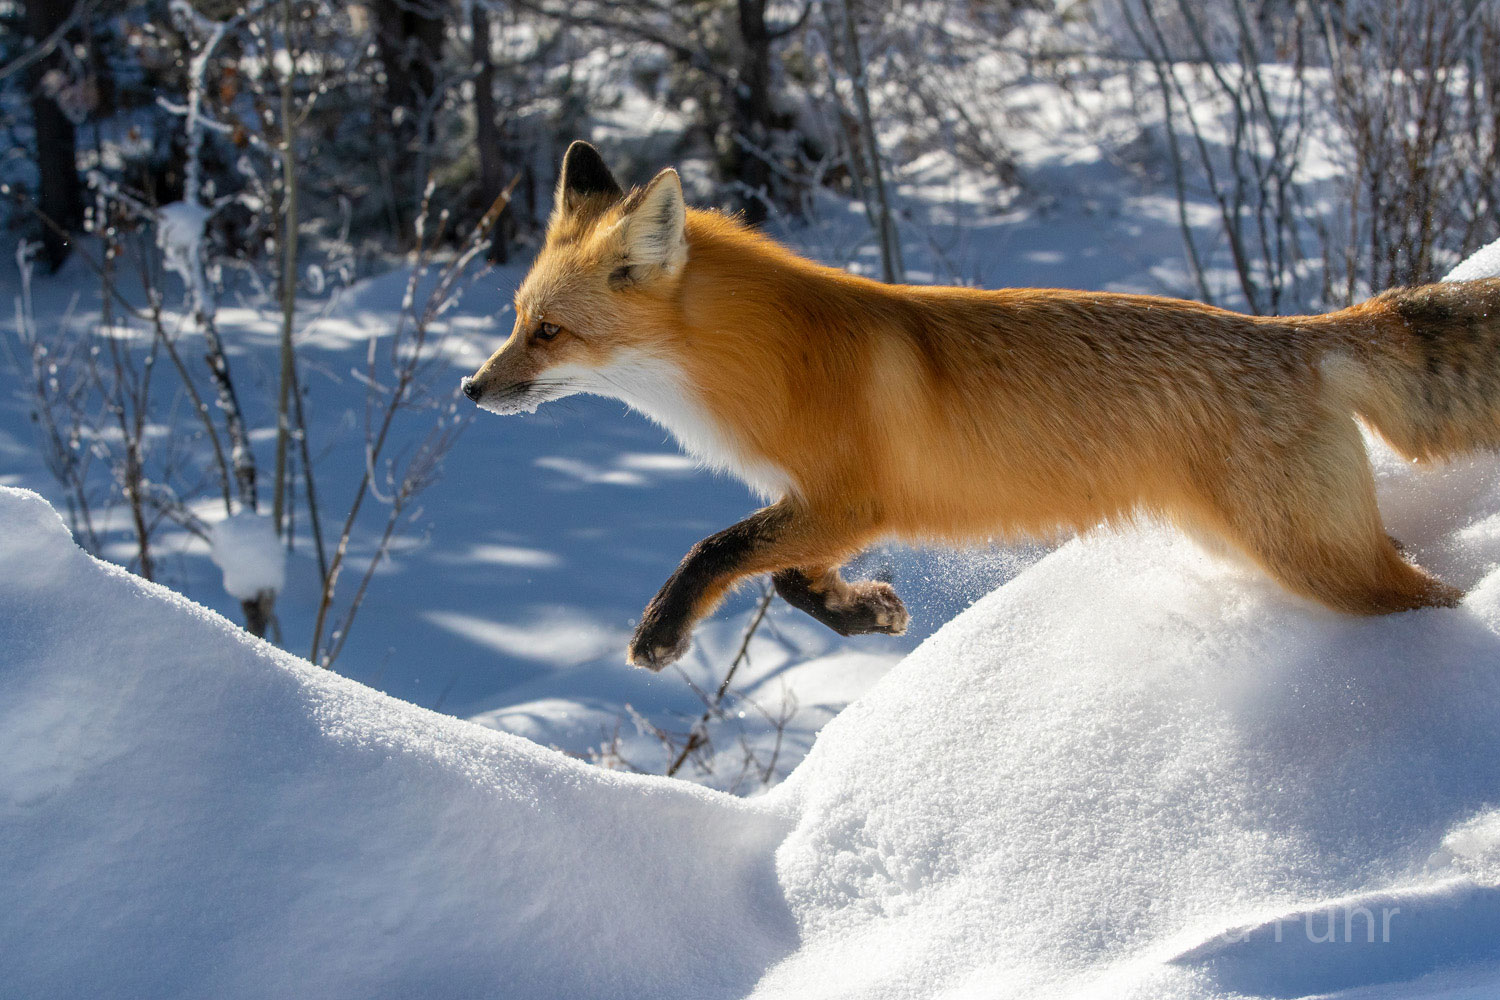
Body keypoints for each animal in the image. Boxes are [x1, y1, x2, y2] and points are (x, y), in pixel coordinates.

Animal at [459, 138, 1500, 671]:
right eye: (514, 321)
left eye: (548, 332)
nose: (470, 387)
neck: (772, 362)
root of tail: (1299, 335)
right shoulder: (828, 510)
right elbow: (788, 579)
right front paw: (866, 613)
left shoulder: (851, 500)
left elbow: (715, 549)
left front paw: (662, 631)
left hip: (1314, 561)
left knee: (1427, 599)